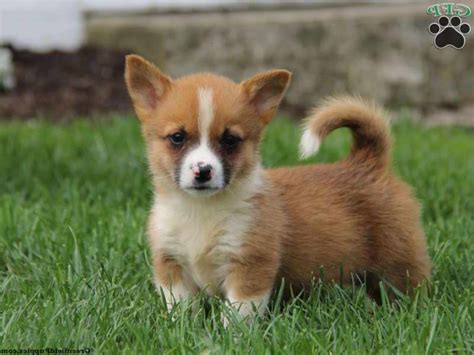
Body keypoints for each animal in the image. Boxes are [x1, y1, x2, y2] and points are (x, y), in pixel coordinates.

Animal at [124, 55, 432, 320]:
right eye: (177, 137)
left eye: (230, 140)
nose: (203, 171)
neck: (201, 211)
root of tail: (367, 161)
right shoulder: (171, 266)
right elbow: (181, 307)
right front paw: (183, 329)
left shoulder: (250, 267)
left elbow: (237, 314)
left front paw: (231, 339)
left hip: (397, 260)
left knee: (406, 287)